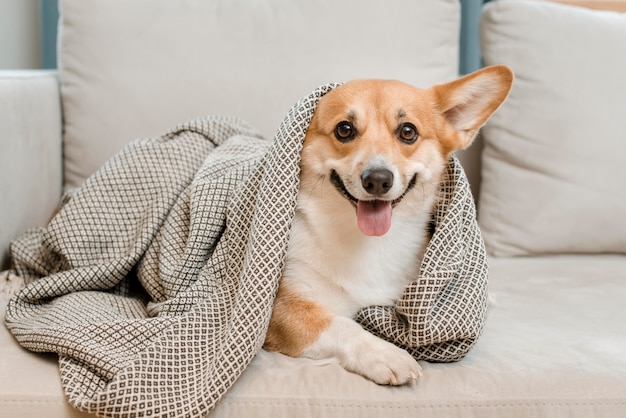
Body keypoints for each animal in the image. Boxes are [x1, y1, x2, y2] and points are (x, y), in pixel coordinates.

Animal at [264, 65, 512, 386]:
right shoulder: (281, 306)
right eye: (344, 129)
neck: (369, 243)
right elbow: (340, 325)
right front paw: (386, 354)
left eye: (408, 132)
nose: (378, 179)